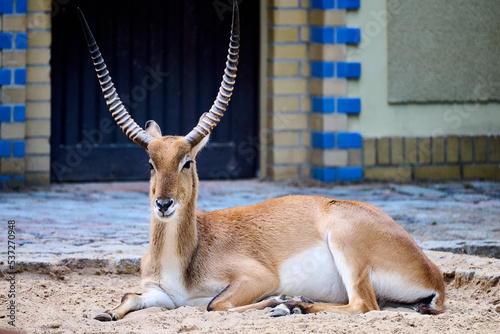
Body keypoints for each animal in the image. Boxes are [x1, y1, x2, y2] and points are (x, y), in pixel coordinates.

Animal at [78, 1, 446, 322]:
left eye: (187, 161)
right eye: (151, 164)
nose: (164, 204)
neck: (186, 256)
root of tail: (434, 275)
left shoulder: (257, 277)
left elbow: (215, 304)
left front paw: (279, 300)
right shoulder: (161, 293)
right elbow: (130, 296)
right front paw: (105, 313)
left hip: (348, 248)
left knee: (364, 305)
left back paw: (290, 305)